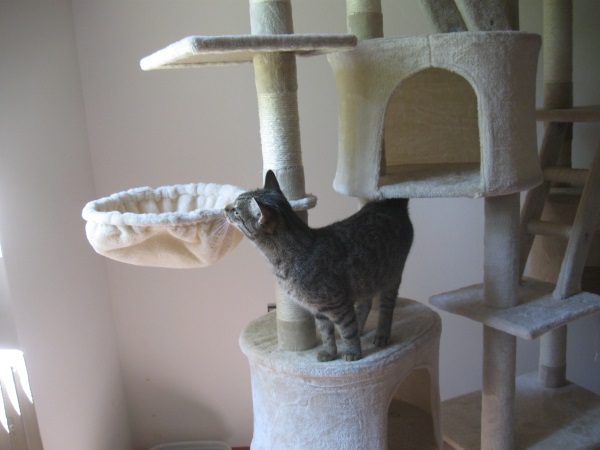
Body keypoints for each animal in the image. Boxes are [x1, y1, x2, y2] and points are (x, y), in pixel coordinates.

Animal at [225, 170, 413, 362]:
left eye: (237, 211)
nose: (225, 208)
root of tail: (391, 204)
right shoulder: (319, 311)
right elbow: (326, 334)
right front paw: (330, 353)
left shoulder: (340, 306)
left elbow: (347, 332)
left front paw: (352, 352)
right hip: (367, 280)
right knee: (365, 304)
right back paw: (361, 327)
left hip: (391, 277)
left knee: (386, 307)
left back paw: (382, 334)